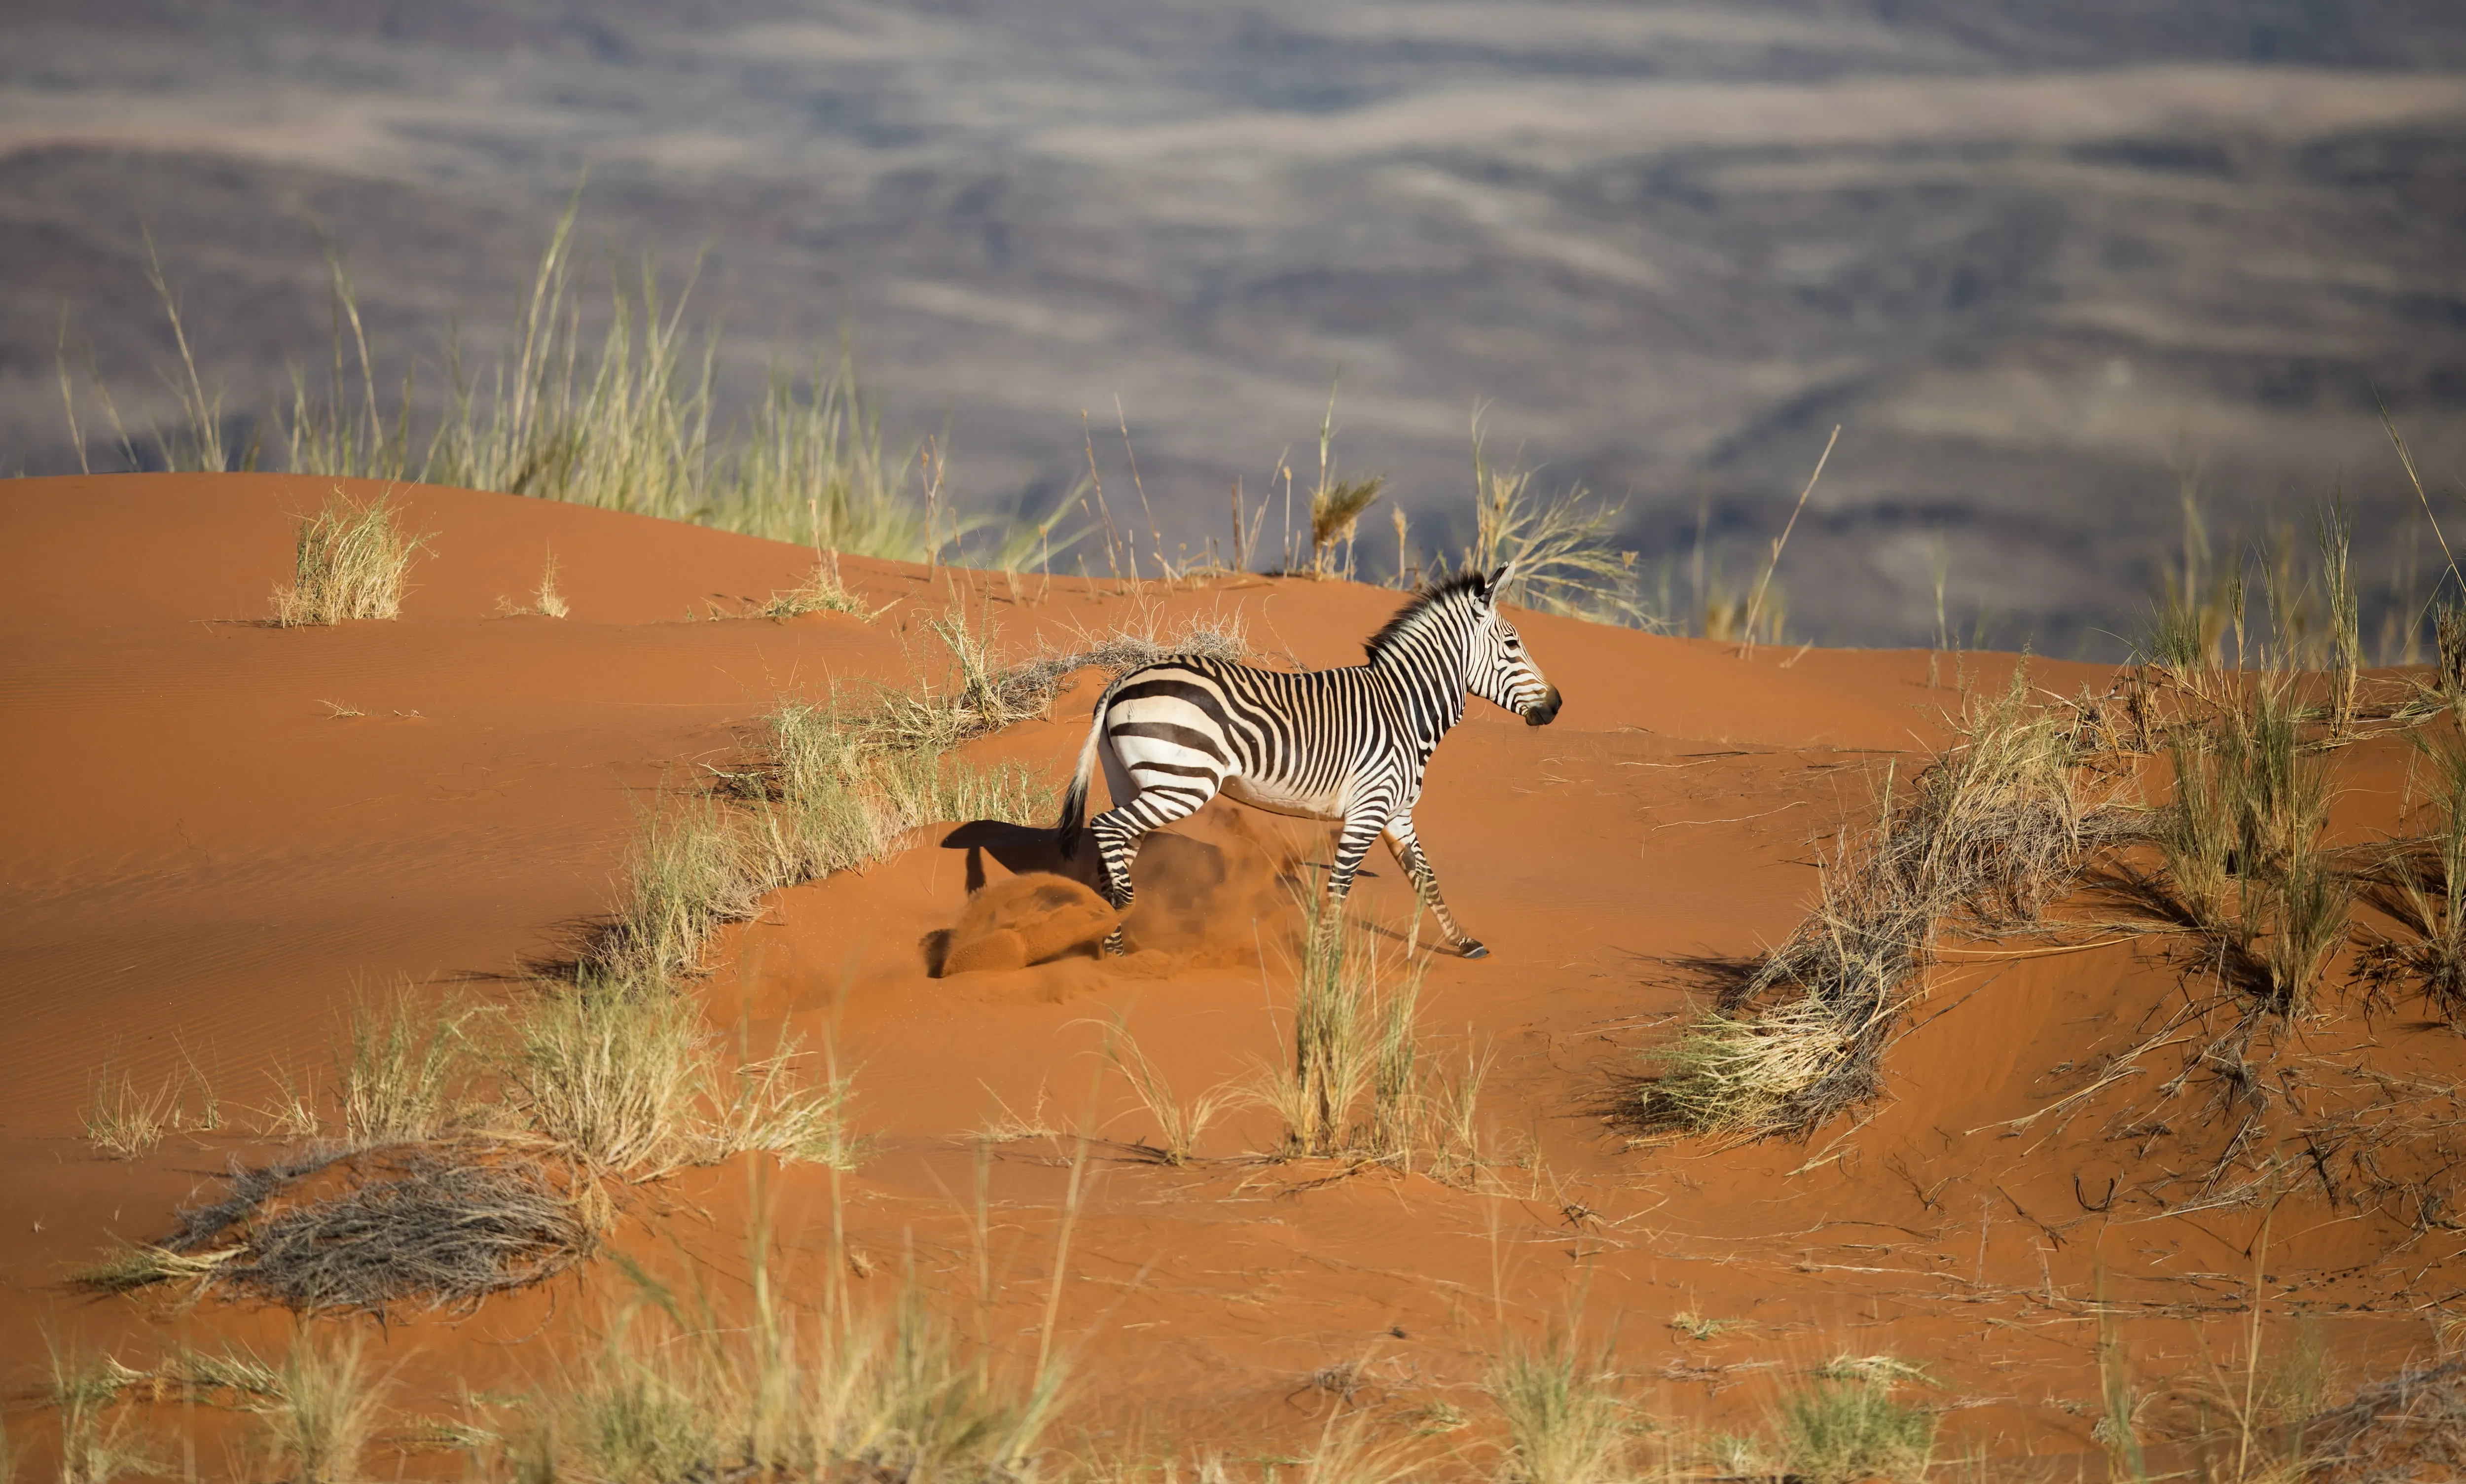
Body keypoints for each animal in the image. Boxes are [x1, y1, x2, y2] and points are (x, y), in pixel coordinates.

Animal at [1054, 568, 1561, 958]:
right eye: (1513, 645)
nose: (1557, 704)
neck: (1403, 709)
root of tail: (1121, 680)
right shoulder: (1368, 810)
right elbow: (1340, 886)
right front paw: (1326, 962)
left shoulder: (1397, 813)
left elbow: (1427, 879)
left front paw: (1465, 943)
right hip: (1183, 784)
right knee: (1105, 829)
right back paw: (1122, 917)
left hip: (1138, 784)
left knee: (1113, 853)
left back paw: (1112, 945)